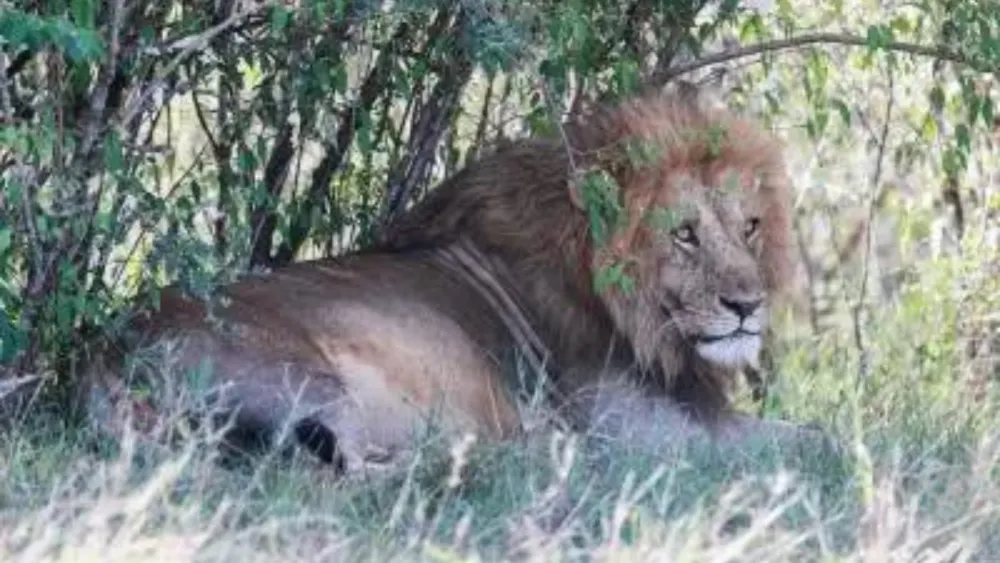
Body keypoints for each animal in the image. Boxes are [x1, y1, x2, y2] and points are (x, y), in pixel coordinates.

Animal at [87, 84, 816, 474]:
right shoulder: (645, 436)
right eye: (685, 233)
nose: (747, 305)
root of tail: (101, 360)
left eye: (751, 227)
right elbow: (813, 443)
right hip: (307, 379)